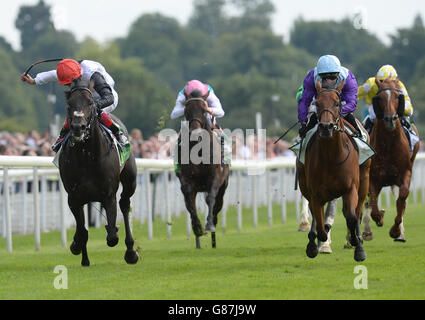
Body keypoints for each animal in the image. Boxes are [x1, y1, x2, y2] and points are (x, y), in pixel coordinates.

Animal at [57, 77, 137, 264]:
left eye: (90, 102)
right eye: (69, 104)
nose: (78, 127)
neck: (87, 158)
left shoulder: (108, 195)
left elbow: (112, 237)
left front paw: (112, 230)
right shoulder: (74, 197)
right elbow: (81, 231)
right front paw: (76, 245)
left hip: (130, 181)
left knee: (125, 204)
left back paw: (131, 251)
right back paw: (85, 259)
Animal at [175, 89, 229, 249]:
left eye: (204, 110)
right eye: (186, 111)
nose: (195, 135)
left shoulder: (215, 178)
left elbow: (211, 198)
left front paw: (208, 224)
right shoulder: (187, 181)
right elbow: (190, 204)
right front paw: (197, 228)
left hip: (223, 189)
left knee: (216, 207)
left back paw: (213, 240)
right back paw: (198, 241)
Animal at [296, 79, 370, 260]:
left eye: (337, 103)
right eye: (317, 103)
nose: (326, 127)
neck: (332, 157)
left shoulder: (350, 188)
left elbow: (352, 217)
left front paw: (357, 244)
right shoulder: (315, 193)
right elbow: (319, 221)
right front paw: (316, 243)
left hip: (364, 180)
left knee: (357, 211)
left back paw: (357, 240)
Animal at [362, 77, 420, 241]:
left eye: (397, 96)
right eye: (380, 97)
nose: (390, 119)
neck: (388, 144)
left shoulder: (405, 173)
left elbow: (402, 198)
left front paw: (395, 230)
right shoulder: (374, 178)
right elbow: (373, 206)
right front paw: (379, 217)